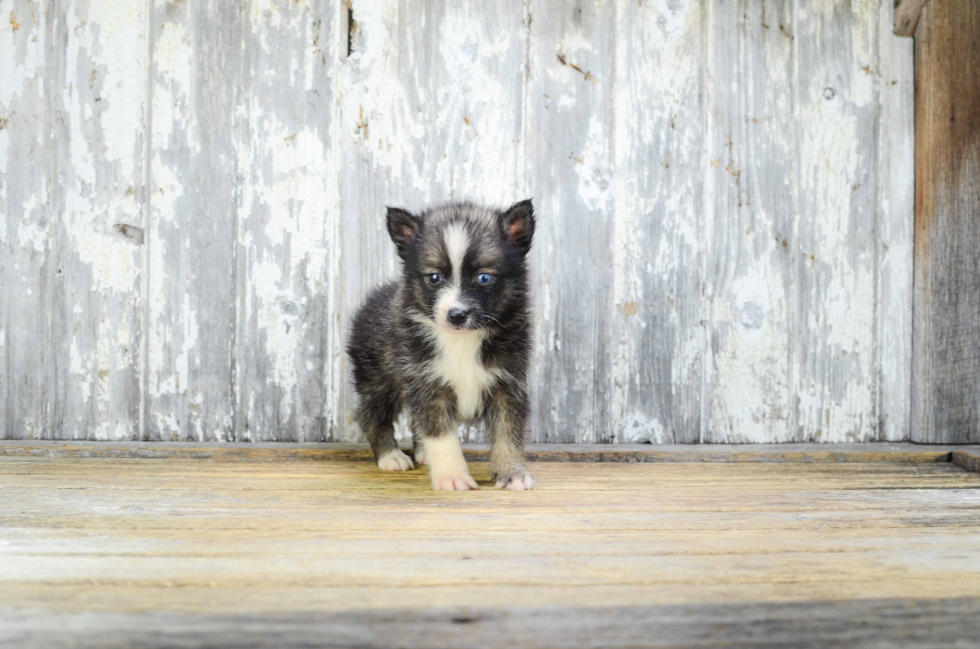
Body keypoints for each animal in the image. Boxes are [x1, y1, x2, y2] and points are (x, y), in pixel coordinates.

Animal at [346, 200, 536, 488]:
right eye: (434, 277)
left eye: (484, 278)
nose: (456, 314)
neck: (462, 339)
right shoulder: (427, 383)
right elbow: (441, 435)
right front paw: (453, 477)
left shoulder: (508, 382)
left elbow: (508, 433)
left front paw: (512, 473)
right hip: (377, 378)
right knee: (370, 414)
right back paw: (391, 456)